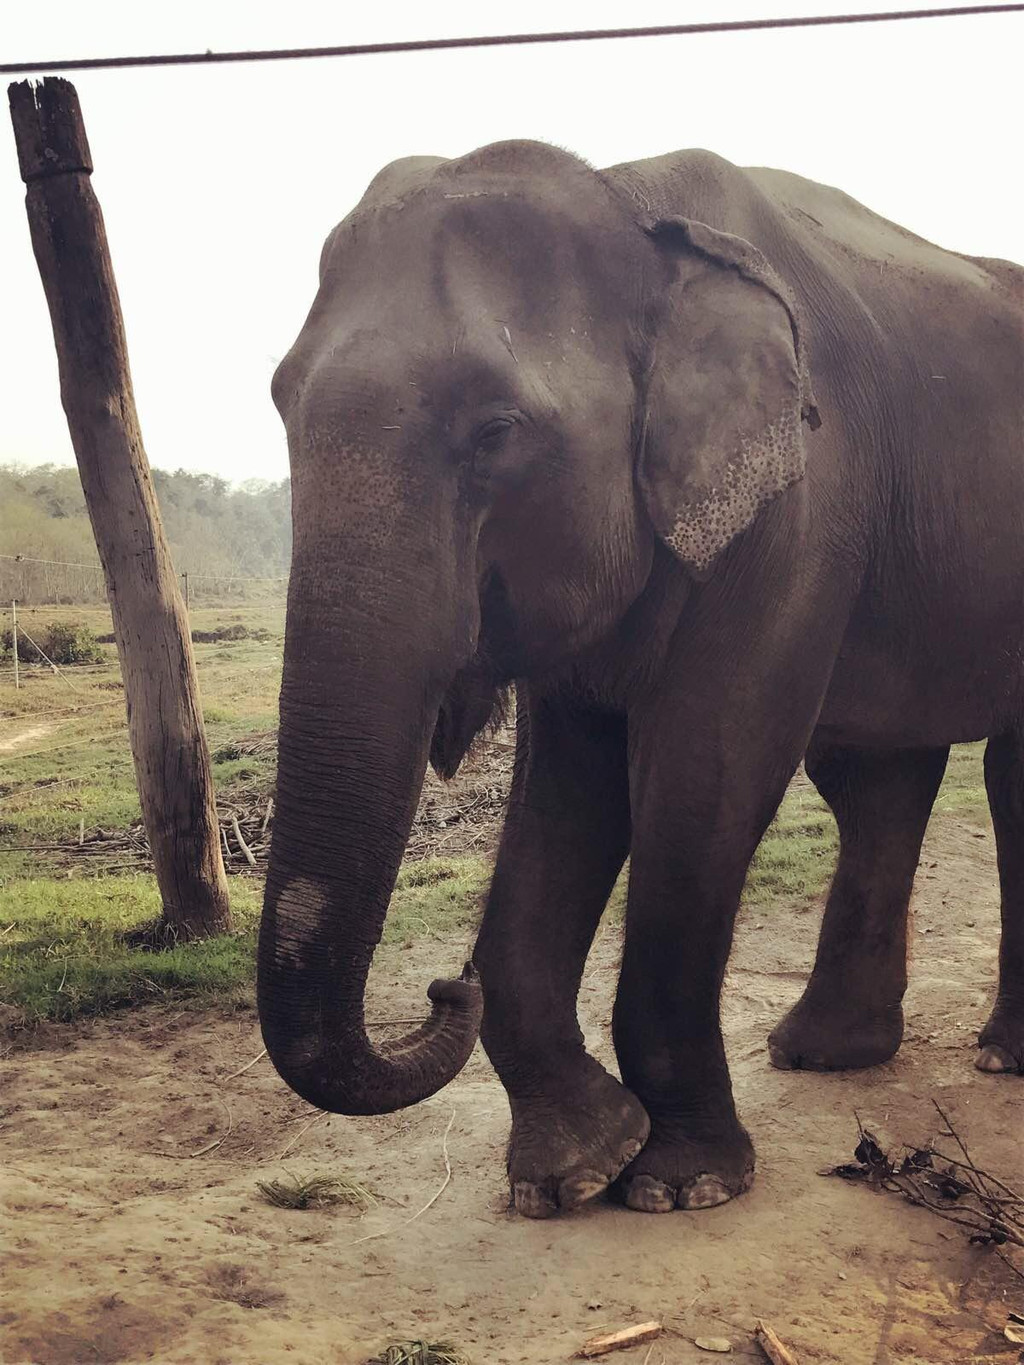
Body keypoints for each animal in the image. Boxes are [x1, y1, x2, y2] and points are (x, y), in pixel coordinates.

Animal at [258, 144, 1024, 1223]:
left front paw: (681, 1185)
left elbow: (706, 770)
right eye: (280, 404)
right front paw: (569, 1172)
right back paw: (823, 1053)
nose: (444, 990)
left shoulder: (799, 507)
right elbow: (567, 788)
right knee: (880, 777)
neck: (630, 200)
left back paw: (995, 1057)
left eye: (497, 430)